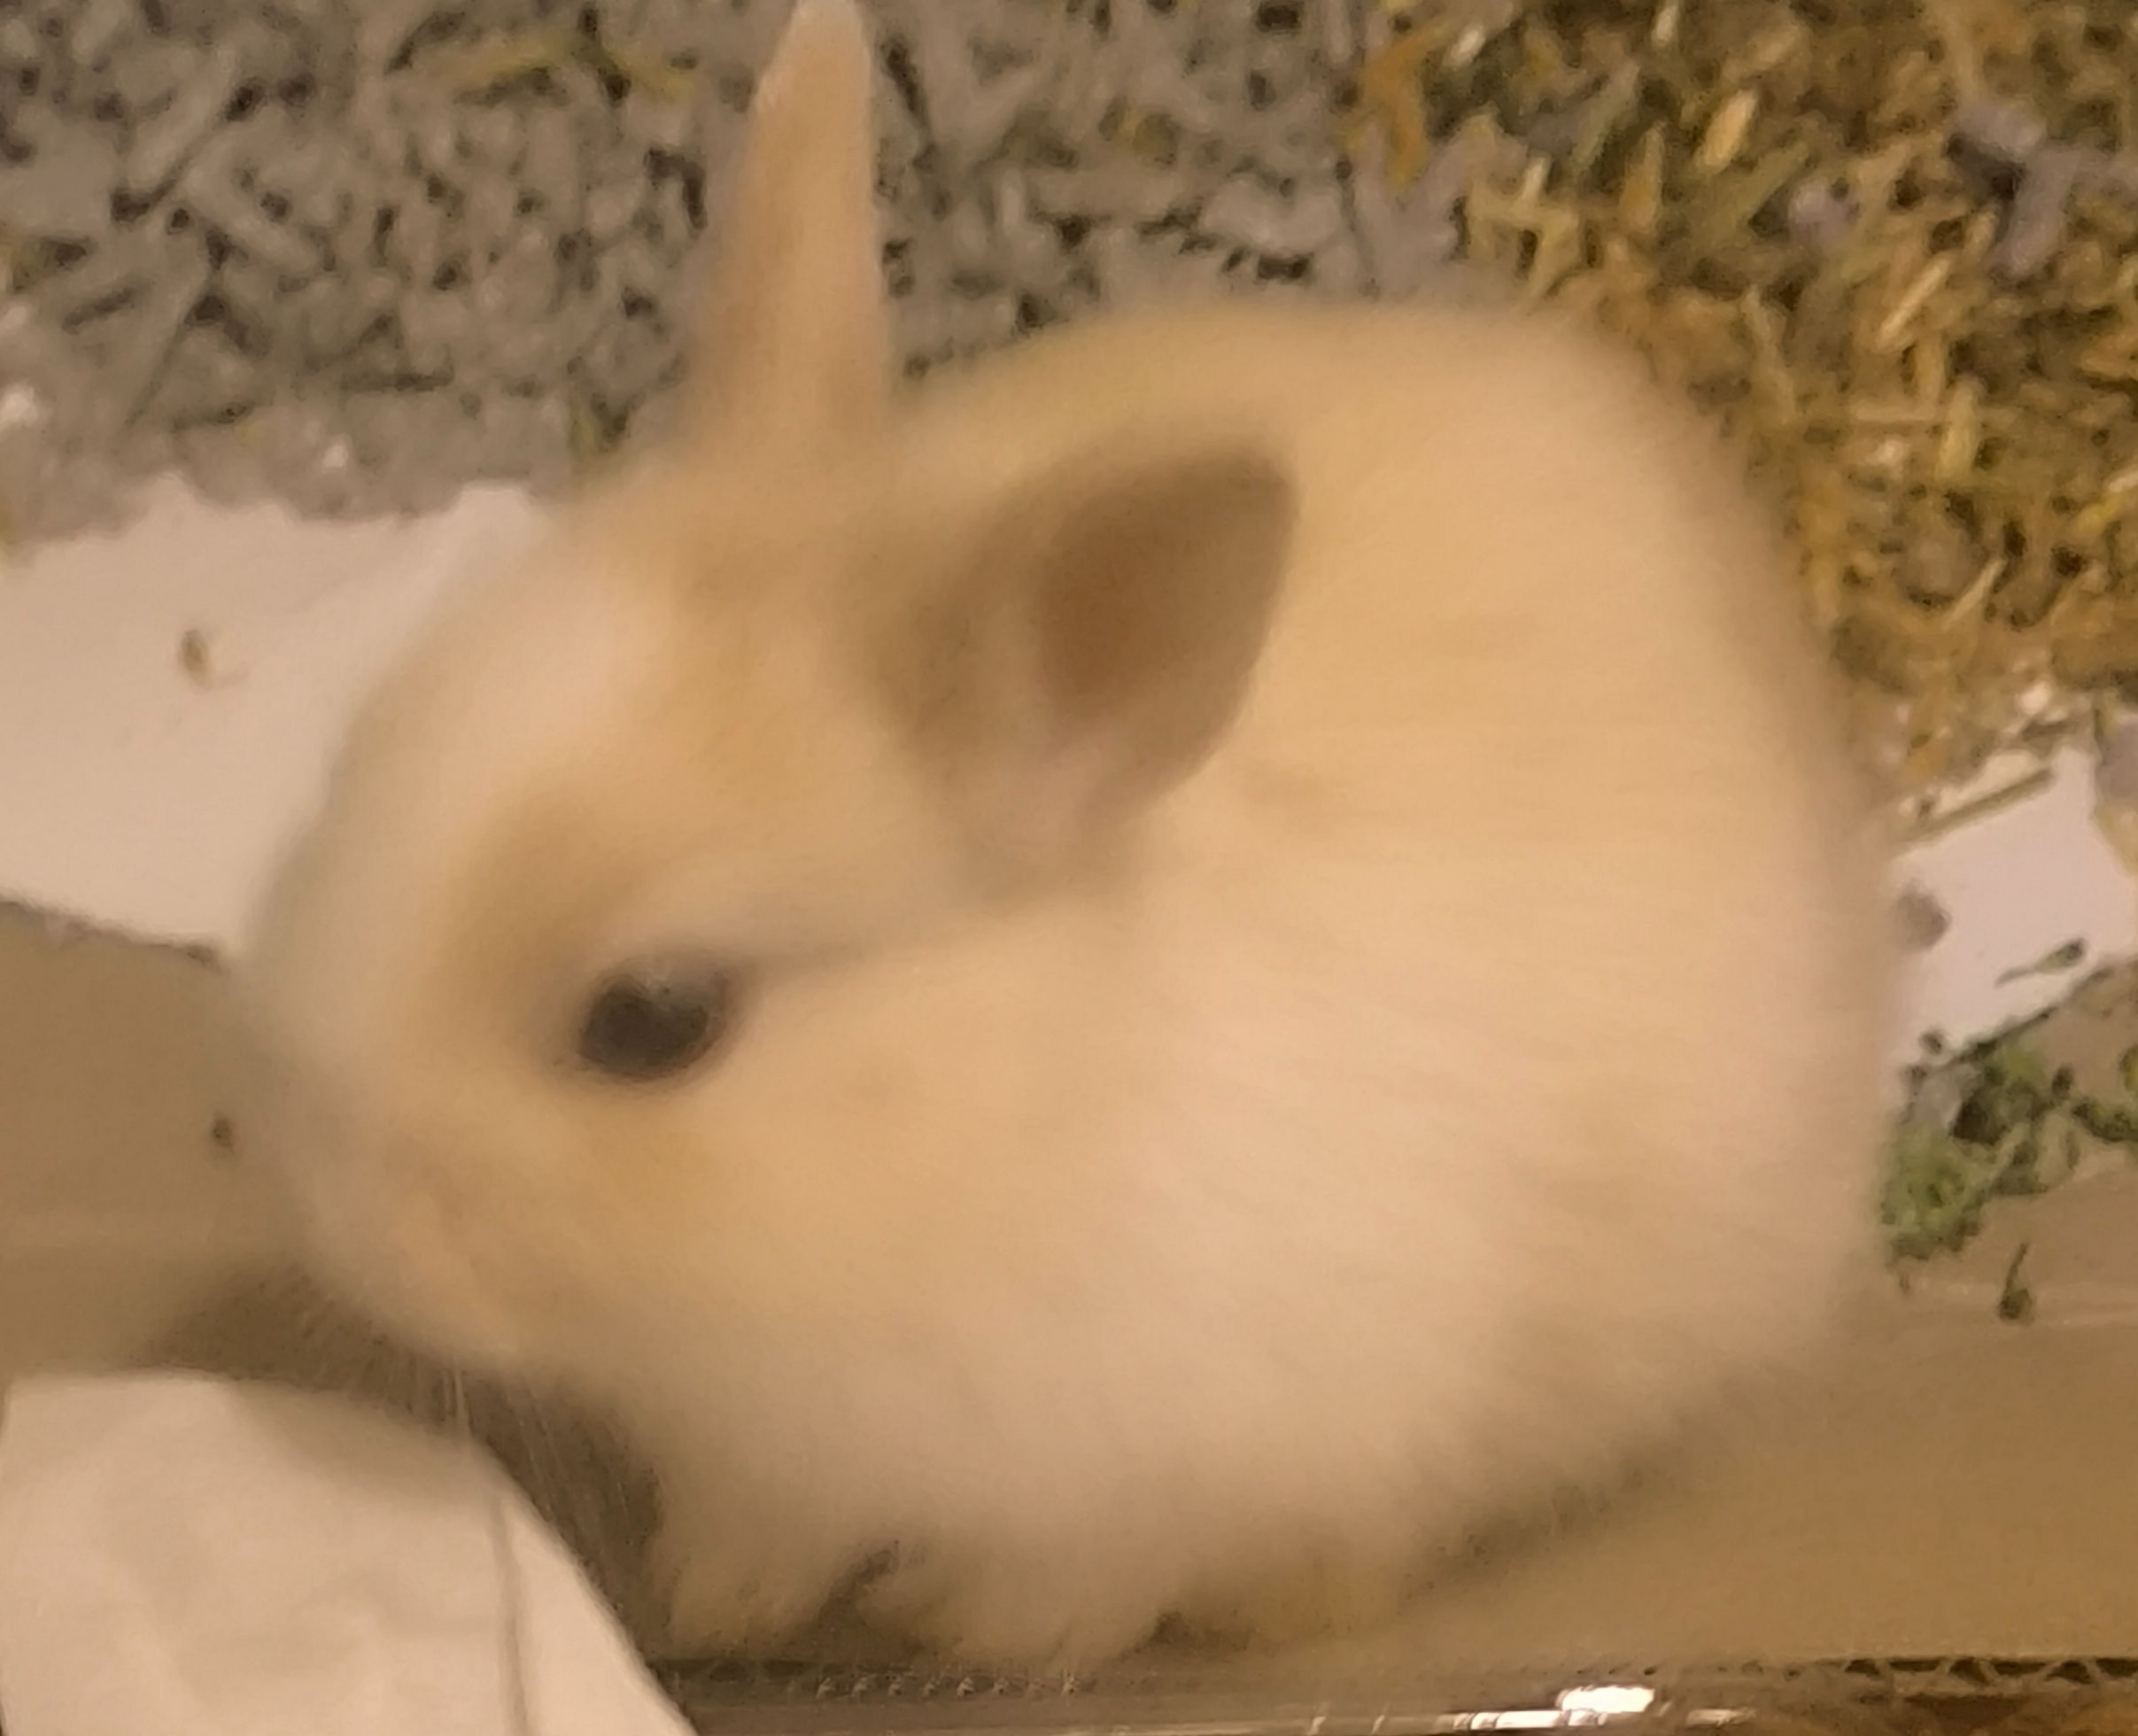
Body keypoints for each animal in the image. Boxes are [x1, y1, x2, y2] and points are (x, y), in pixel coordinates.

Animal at [239, 0, 1895, 1675]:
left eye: (654, 1020)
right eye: (360, 748)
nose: (319, 1212)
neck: (1000, 1136)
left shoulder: (1157, 1489)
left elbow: (1068, 1592)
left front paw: (950, 1635)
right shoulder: (762, 1462)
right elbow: (760, 1535)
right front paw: (719, 1606)